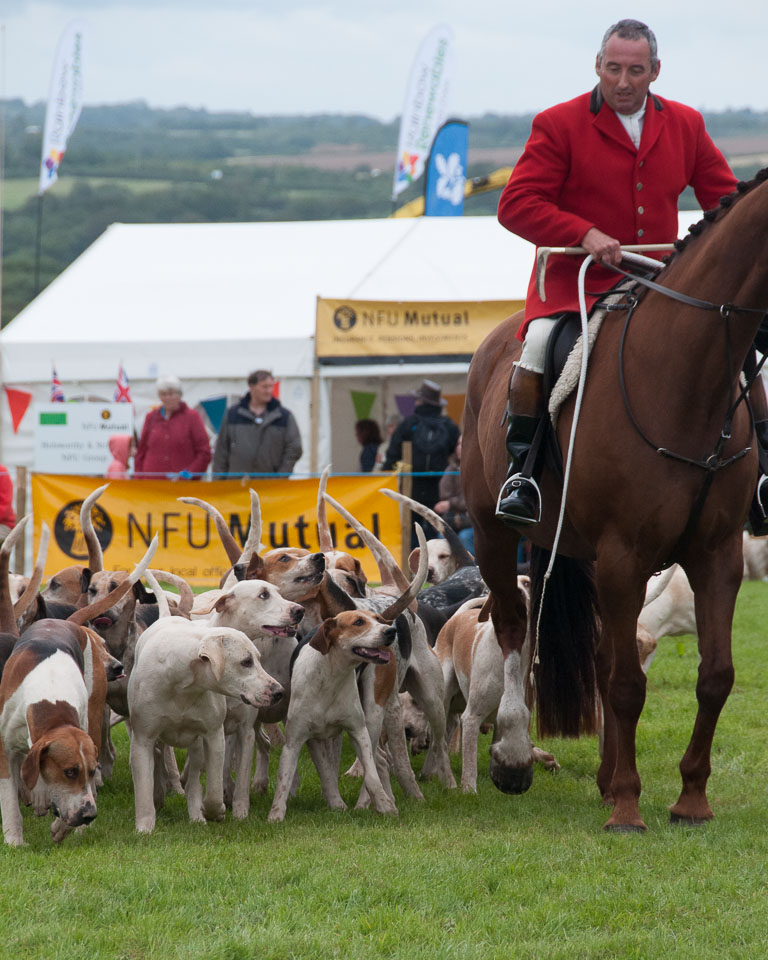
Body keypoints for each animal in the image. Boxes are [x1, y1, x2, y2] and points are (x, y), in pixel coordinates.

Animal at [462, 169, 768, 828]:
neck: (685, 381)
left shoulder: (717, 557)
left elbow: (716, 675)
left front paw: (690, 797)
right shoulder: (625, 554)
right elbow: (628, 682)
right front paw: (628, 806)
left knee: (599, 653)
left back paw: (603, 779)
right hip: (498, 534)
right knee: (512, 623)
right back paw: (516, 755)